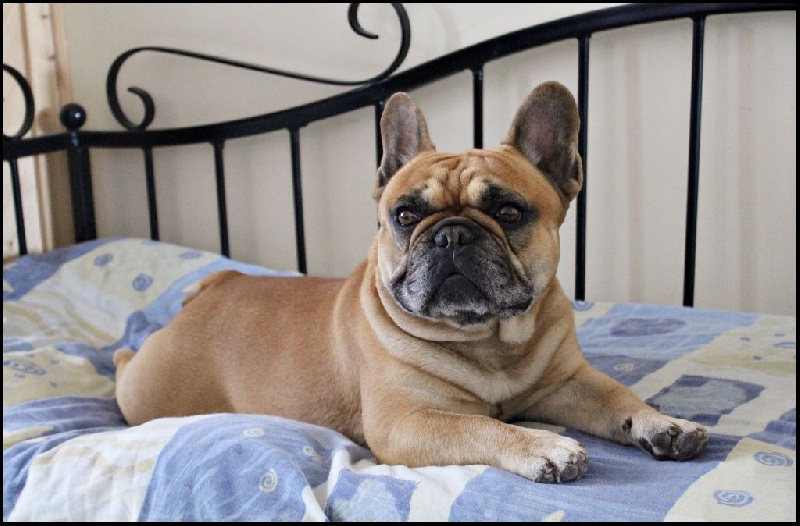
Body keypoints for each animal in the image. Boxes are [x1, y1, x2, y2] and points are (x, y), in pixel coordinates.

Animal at [114, 82, 707, 483]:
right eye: (404, 215)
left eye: (509, 212)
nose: (451, 235)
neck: (488, 340)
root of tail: (215, 286)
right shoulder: (409, 422)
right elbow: (481, 427)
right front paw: (544, 445)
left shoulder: (567, 384)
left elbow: (618, 396)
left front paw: (663, 424)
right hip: (151, 393)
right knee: (123, 370)